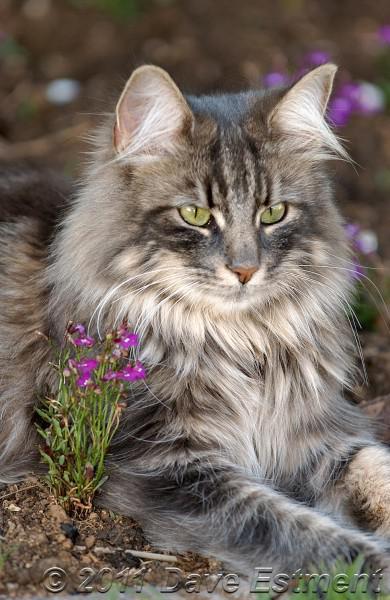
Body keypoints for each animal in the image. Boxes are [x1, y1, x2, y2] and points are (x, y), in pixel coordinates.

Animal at [0, 63, 390, 580]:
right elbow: (310, 535)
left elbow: (375, 469)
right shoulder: (167, 467)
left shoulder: (314, 434)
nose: (245, 269)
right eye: (196, 215)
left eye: (273, 213)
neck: (242, 343)